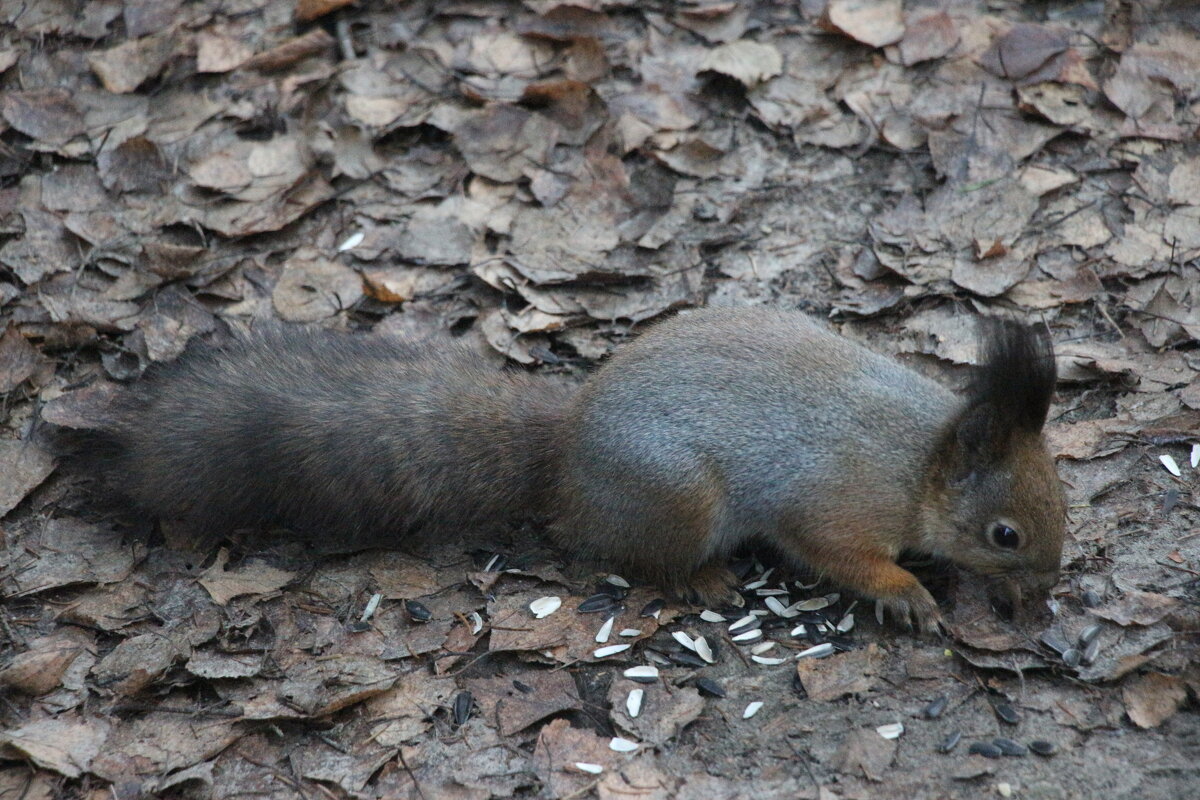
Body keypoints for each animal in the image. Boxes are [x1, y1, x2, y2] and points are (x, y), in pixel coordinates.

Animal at [70, 307, 1065, 633]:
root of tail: (567, 453)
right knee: (635, 556)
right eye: (1005, 533)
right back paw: (704, 579)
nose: (1047, 593)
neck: (920, 458)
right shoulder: (837, 504)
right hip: (679, 500)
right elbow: (840, 555)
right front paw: (908, 593)